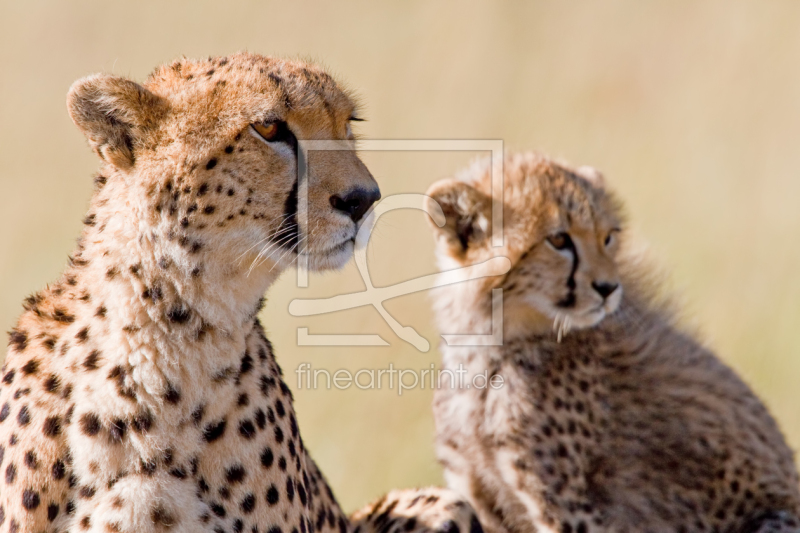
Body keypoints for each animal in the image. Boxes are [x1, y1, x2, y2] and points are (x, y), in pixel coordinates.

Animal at [424, 151, 800, 532]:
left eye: (607, 237)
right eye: (558, 240)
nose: (608, 288)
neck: (487, 343)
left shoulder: (574, 510)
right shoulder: (484, 501)